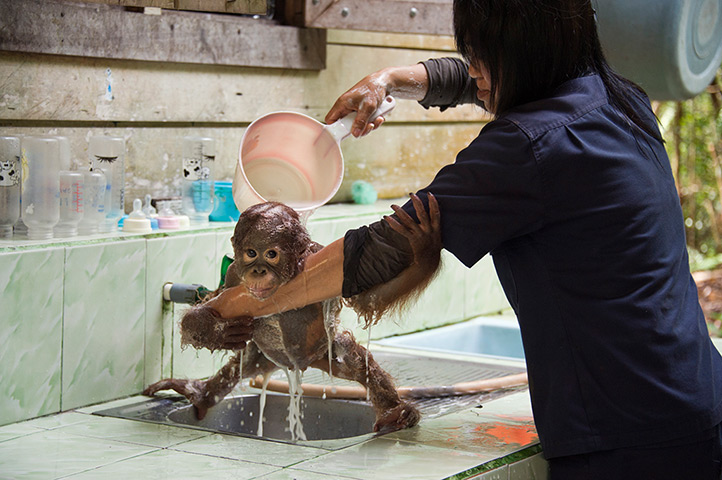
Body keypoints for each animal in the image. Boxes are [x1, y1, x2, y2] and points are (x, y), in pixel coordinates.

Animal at [143, 199, 442, 434]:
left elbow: (366, 299)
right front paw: (216, 328)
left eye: (271, 254)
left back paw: (396, 414)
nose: (259, 270)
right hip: (263, 357)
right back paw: (201, 395)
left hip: (326, 353)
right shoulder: (233, 275)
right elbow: (213, 300)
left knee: (356, 360)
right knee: (241, 364)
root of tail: (300, 365)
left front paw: (424, 248)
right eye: (251, 253)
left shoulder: (320, 259)